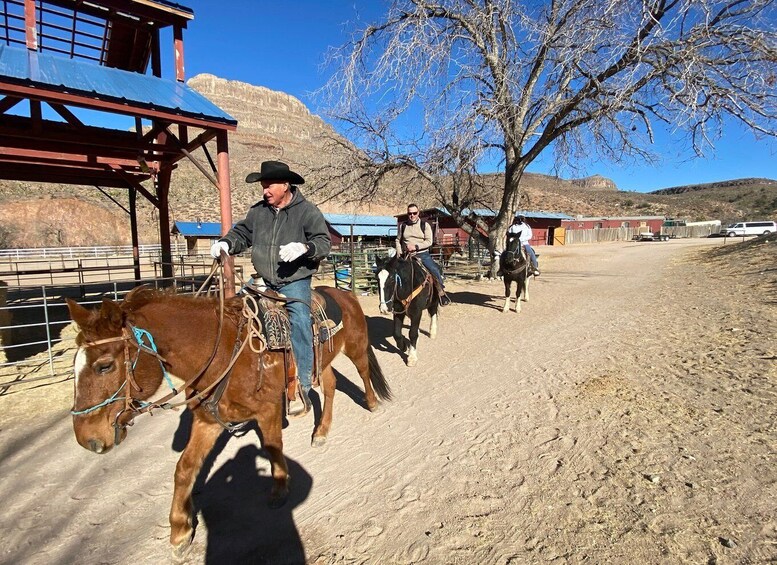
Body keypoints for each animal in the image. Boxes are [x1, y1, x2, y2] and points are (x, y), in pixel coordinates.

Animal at [64, 284, 392, 556]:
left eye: (104, 365)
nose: (87, 439)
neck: (223, 352)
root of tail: (345, 294)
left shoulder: (268, 411)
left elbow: (272, 447)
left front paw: (280, 488)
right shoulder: (207, 421)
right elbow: (185, 469)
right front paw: (180, 531)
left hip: (355, 346)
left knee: (363, 371)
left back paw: (373, 403)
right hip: (321, 362)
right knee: (331, 384)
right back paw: (321, 431)